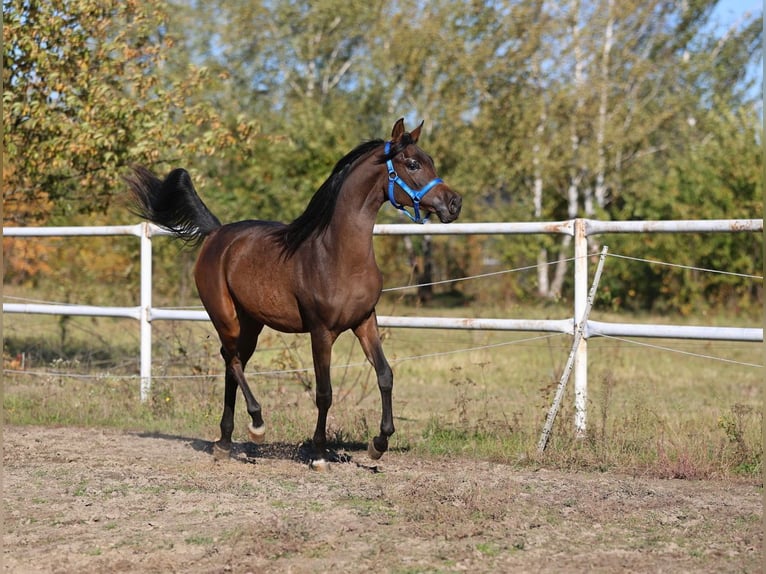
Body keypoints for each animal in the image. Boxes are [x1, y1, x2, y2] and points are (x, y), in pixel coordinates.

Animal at [126, 119, 462, 470]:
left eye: (430, 161)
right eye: (412, 164)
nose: (454, 203)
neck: (339, 254)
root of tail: (216, 233)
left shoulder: (365, 321)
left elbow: (385, 375)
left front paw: (378, 444)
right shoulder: (321, 331)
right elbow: (324, 392)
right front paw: (319, 454)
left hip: (251, 323)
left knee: (233, 363)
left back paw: (225, 442)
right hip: (224, 316)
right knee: (232, 360)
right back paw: (256, 425)